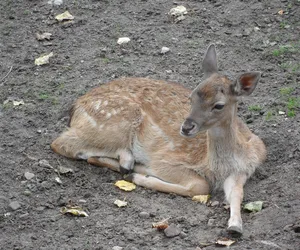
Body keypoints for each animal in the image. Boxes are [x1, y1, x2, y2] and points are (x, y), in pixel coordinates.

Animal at [52, 44, 268, 234]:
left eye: (219, 105)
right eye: (191, 96)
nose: (186, 127)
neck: (217, 167)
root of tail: (76, 107)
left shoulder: (243, 171)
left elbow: (237, 194)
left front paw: (235, 226)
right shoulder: (165, 159)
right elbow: (200, 185)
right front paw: (141, 177)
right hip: (114, 123)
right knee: (61, 143)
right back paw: (128, 164)